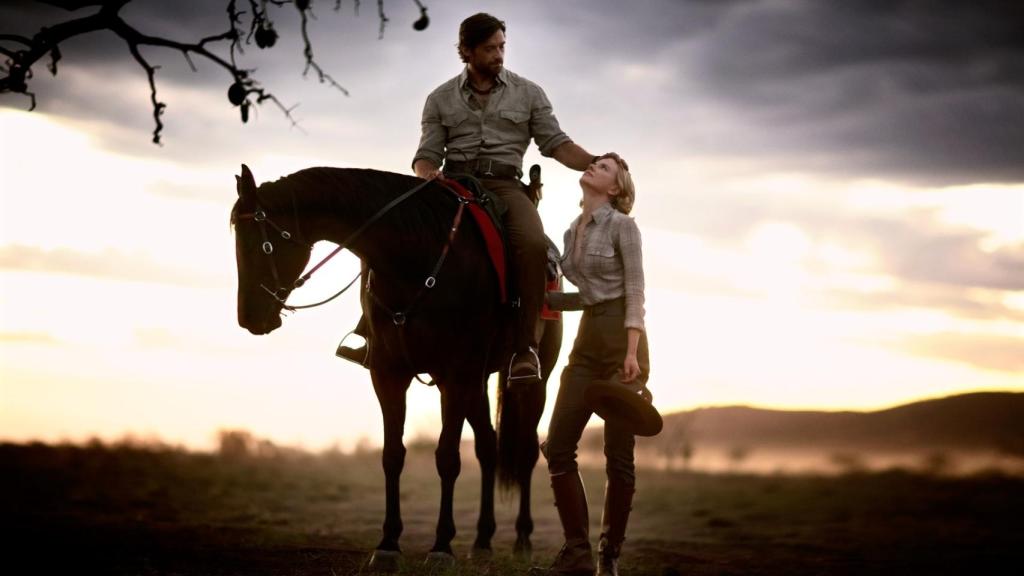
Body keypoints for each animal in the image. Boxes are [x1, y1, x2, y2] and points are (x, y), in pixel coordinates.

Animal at [231, 163, 561, 565]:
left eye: (261, 243)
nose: (249, 317)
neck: (417, 258)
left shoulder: (455, 374)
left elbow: (447, 457)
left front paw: (441, 546)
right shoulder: (389, 375)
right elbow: (392, 455)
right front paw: (388, 542)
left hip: (531, 380)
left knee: (526, 451)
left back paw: (523, 538)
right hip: (477, 382)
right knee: (487, 446)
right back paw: (483, 539)